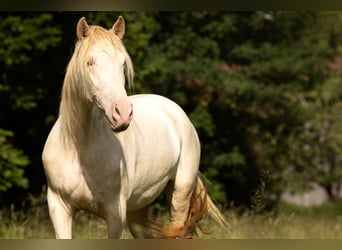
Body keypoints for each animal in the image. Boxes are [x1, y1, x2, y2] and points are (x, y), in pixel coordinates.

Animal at [42, 15, 230, 238]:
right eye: (90, 62)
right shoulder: (59, 208)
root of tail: (176, 112)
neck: (78, 149)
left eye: (123, 63)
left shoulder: (115, 214)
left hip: (179, 196)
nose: (122, 113)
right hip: (137, 210)